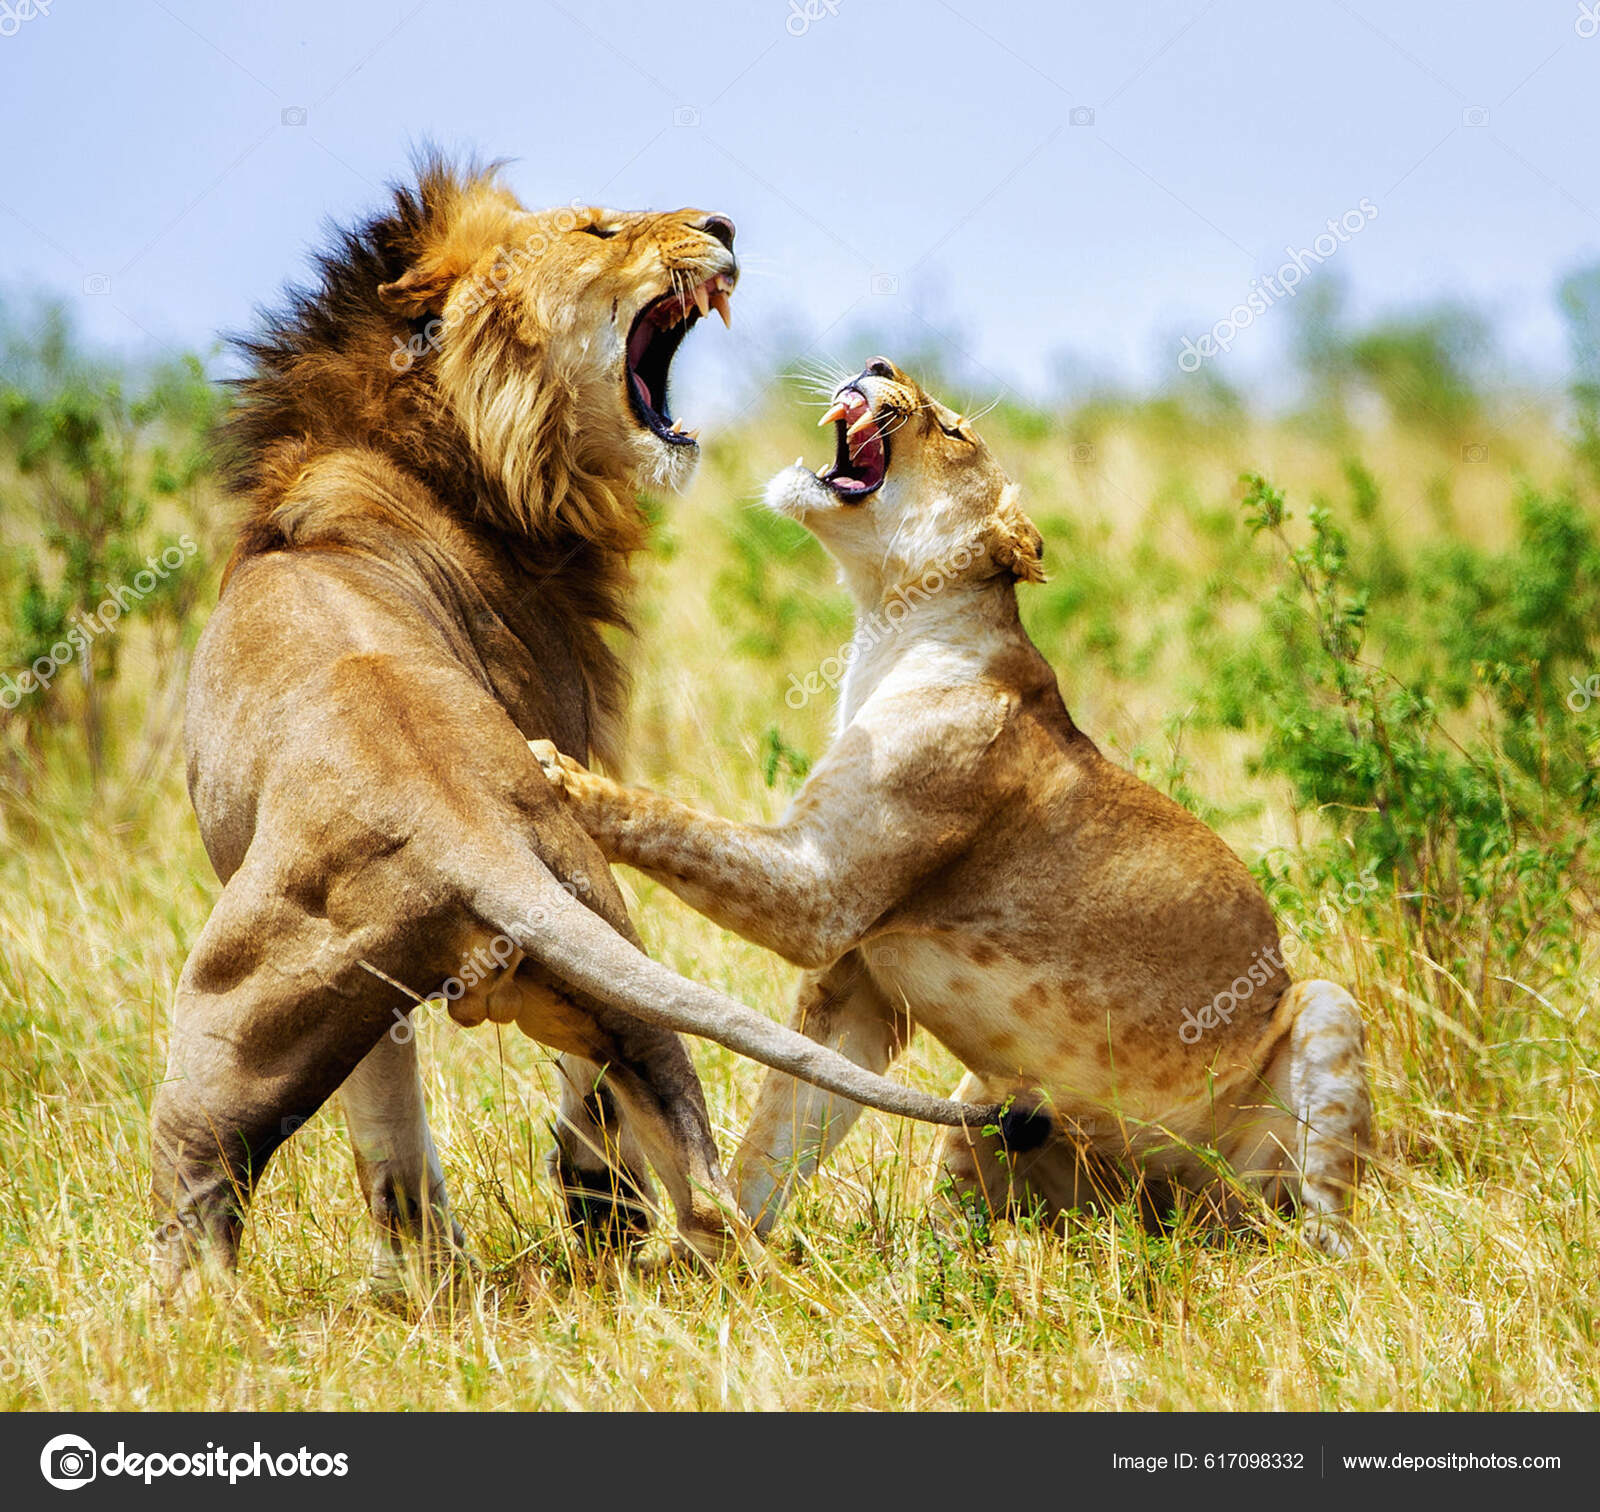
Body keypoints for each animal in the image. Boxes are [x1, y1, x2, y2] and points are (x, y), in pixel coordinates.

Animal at [156, 168, 992, 1299]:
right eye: (600, 230)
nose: (723, 224)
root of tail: (455, 828)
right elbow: (394, 1128)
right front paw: (419, 1280)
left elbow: (394, 1118)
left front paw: (423, 1275)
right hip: (575, 943)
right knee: (702, 1196)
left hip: (221, 1034)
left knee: (199, 1212)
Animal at [534, 360, 1376, 1254]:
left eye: (954, 430)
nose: (879, 364)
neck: (886, 625)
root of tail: (1172, 1220)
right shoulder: (858, 980)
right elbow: (786, 1124)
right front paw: (725, 1252)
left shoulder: (820, 892)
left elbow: (678, 822)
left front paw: (562, 773)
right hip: (994, 1100)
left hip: (1325, 1011)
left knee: (1319, 1217)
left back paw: (1306, 1257)